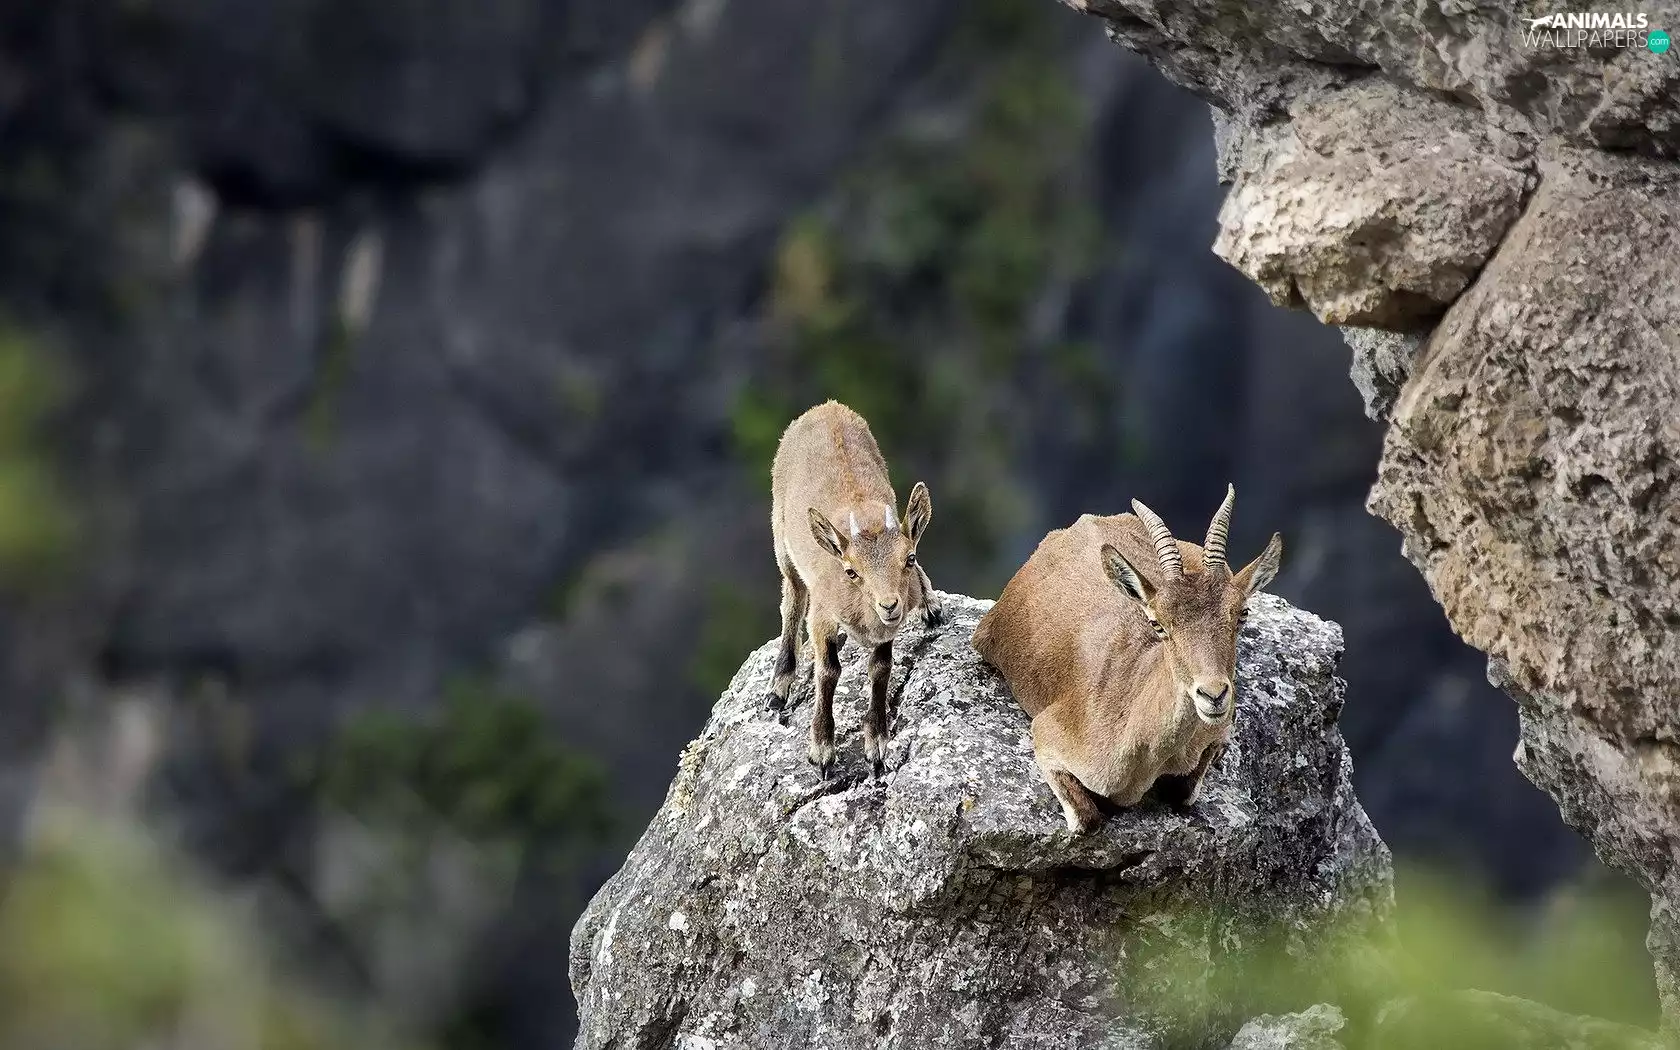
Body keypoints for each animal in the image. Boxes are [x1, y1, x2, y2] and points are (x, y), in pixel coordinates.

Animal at [769, 401, 942, 778]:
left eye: (909, 558)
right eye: (851, 571)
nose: (889, 604)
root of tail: (827, 406)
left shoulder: (885, 633)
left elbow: (880, 669)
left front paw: (876, 744)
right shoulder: (822, 616)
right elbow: (829, 671)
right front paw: (821, 750)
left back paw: (930, 604)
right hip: (781, 537)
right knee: (792, 598)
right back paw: (780, 682)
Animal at [971, 486, 1282, 832]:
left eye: (1242, 614)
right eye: (1158, 623)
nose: (1213, 695)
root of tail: (1087, 520)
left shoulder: (1213, 734)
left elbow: (1186, 791)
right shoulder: (1048, 732)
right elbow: (1087, 819)